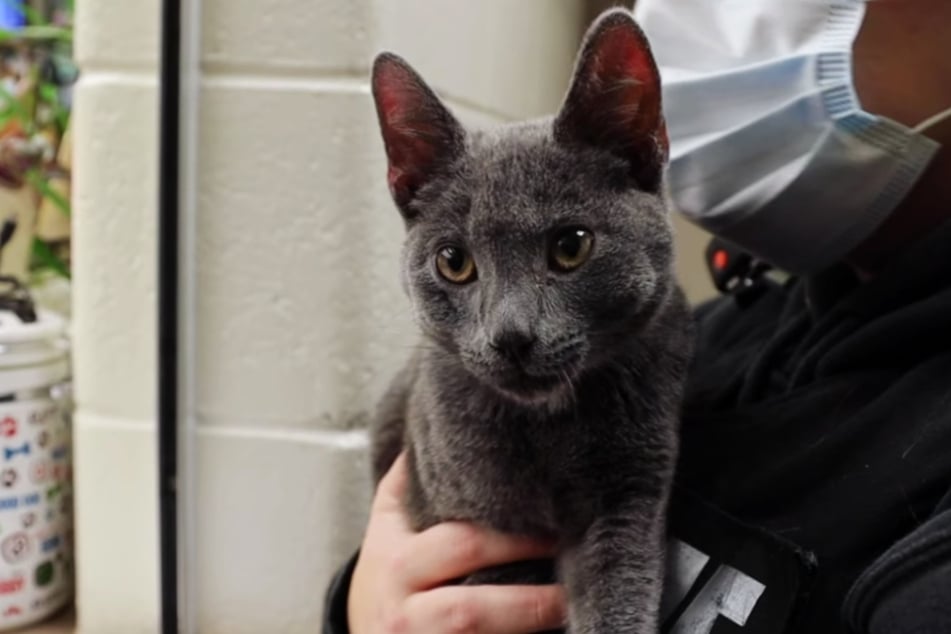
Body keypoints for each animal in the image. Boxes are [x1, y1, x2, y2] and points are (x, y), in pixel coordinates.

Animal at [370, 9, 692, 632]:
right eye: (454, 261)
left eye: (571, 246)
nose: (511, 335)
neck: (549, 430)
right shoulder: (472, 518)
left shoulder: (631, 495)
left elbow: (621, 596)